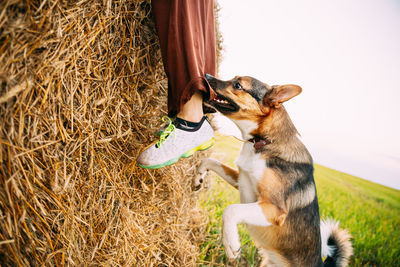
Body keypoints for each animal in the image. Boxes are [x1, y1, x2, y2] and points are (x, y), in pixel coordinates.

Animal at [195, 75, 352, 267]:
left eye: (238, 85)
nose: (207, 76)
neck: (265, 141)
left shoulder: (274, 209)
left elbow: (231, 210)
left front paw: (231, 244)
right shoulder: (242, 180)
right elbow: (210, 161)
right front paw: (198, 177)